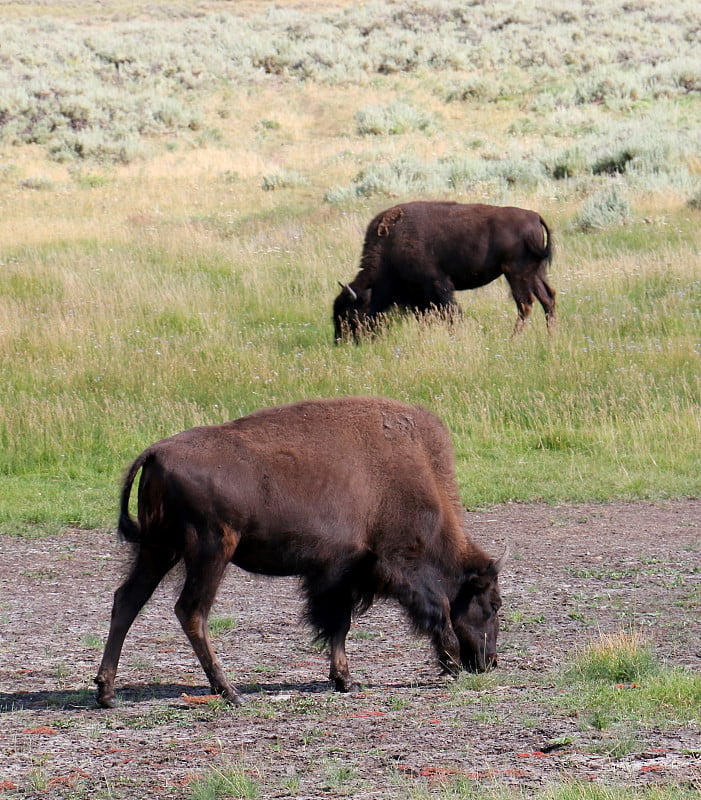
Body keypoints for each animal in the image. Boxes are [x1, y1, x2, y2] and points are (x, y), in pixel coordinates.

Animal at [95, 394, 506, 708]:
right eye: (493, 604)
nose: (489, 662)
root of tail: (156, 453)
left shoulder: (340, 574)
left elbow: (338, 625)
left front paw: (345, 680)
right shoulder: (381, 566)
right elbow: (428, 609)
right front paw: (449, 661)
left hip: (158, 550)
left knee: (127, 600)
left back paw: (107, 693)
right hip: (210, 552)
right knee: (191, 611)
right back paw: (229, 691)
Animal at [330, 202, 556, 342]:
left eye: (349, 313)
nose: (340, 341)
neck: (391, 244)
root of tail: (534, 217)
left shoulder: (437, 286)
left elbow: (450, 313)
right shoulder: (418, 297)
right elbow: (425, 317)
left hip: (516, 273)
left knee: (525, 304)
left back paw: (513, 339)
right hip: (536, 273)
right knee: (548, 298)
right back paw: (551, 336)